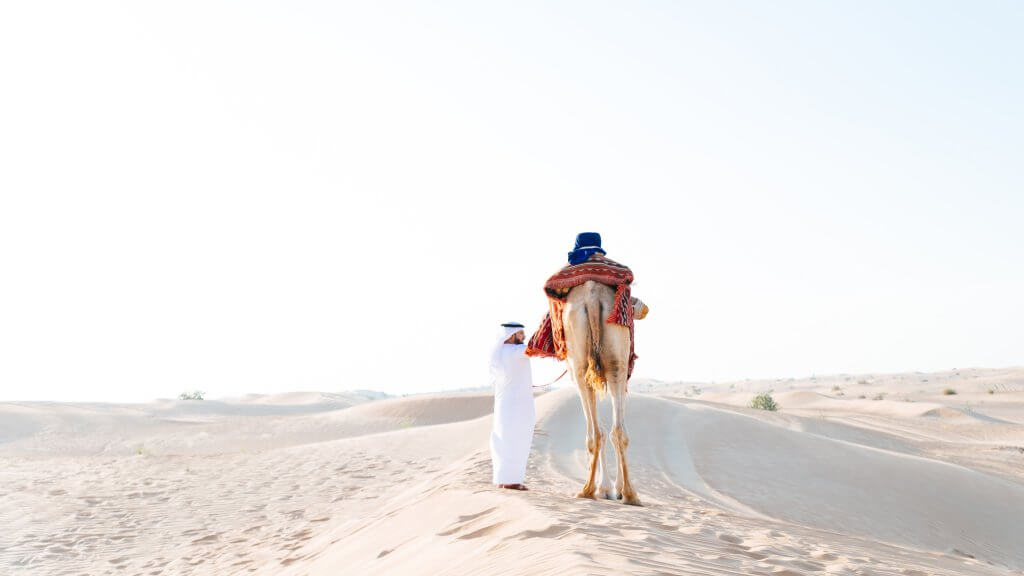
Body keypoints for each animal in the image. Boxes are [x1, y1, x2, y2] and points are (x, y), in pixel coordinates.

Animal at [561, 280, 638, 504]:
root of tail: (592, 297)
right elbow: (609, 431)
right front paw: (612, 488)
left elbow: (601, 430)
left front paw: (607, 488)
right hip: (615, 363)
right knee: (614, 431)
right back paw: (628, 494)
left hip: (581, 366)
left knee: (597, 432)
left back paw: (587, 490)